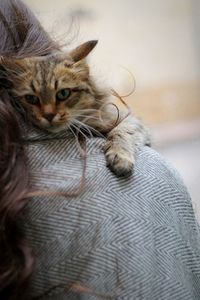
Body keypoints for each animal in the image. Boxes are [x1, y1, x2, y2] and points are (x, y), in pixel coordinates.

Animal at [0, 39, 149, 176]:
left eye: (63, 93)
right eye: (31, 98)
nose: (48, 115)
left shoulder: (128, 118)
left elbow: (122, 132)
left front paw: (120, 156)